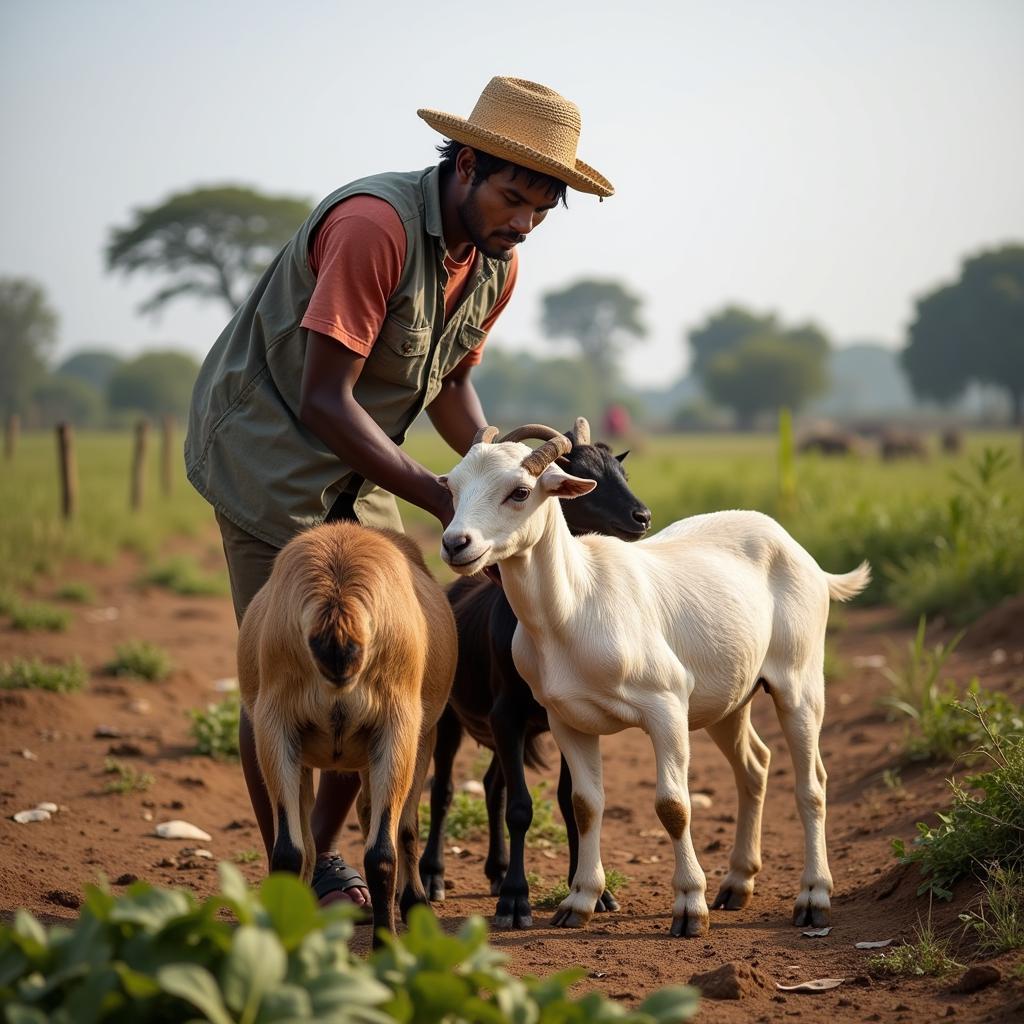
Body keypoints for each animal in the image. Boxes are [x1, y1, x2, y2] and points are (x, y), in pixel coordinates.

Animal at [239, 524, 456, 937]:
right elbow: (403, 826)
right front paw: (415, 903)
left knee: (291, 851)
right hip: (398, 731)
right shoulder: (421, 737)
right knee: (381, 848)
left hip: (276, 730)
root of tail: (337, 601)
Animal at [419, 415, 651, 929]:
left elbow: (570, 801)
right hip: (450, 717)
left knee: (492, 786)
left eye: (621, 472)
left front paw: (590, 893)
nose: (641, 517)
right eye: (581, 476)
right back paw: (434, 876)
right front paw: (515, 901)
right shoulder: (506, 713)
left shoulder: (567, 716)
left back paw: (495, 869)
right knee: (444, 789)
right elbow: (522, 808)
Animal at [440, 428, 872, 937]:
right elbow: (584, 804)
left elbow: (673, 805)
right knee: (754, 765)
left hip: (799, 681)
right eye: (454, 488)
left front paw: (689, 907)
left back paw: (813, 897)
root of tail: (801, 554)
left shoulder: (665, 706)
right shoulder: (567, 719)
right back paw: (736, 884)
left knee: (812, 783)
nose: (455, 543)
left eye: (520, 492)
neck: (576, 603)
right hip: (728, 698)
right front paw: (580, 901)